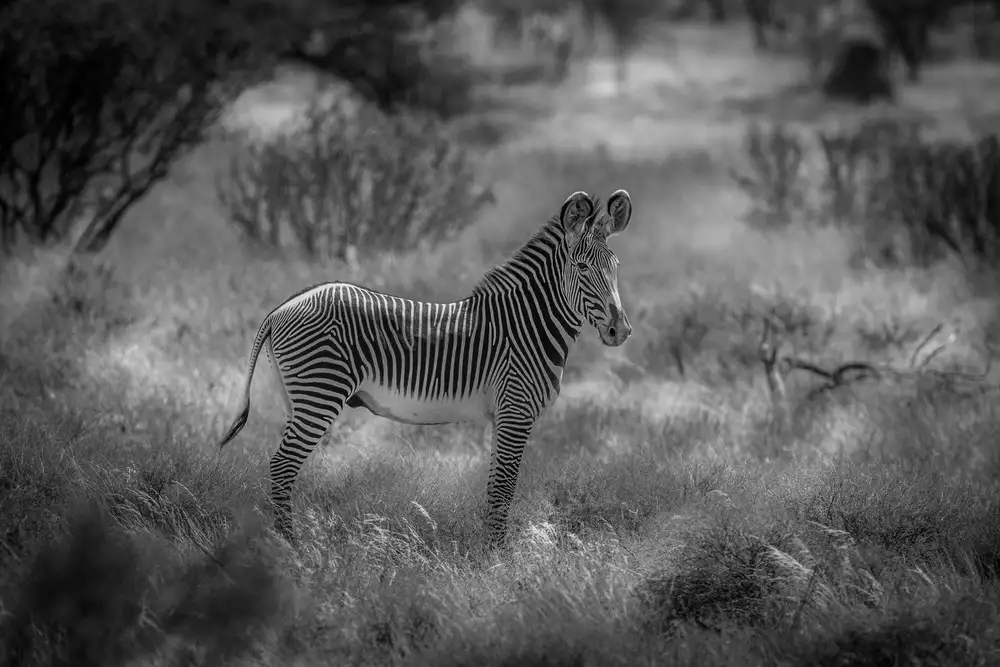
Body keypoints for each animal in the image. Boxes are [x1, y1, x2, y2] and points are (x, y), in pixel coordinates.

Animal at [218, 189, 634, 547]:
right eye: (581, 267)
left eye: (615, 266)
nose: (620, 331)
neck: (528, 324)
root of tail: (283, 307)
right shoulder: (516, 410)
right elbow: (504, 488)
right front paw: (499, 558)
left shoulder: (503, 414)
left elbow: (494, 486)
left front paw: (490, 550)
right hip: (319, 393)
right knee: (282, 466)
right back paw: (292, 548)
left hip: (299, 397)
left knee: (282, 467)